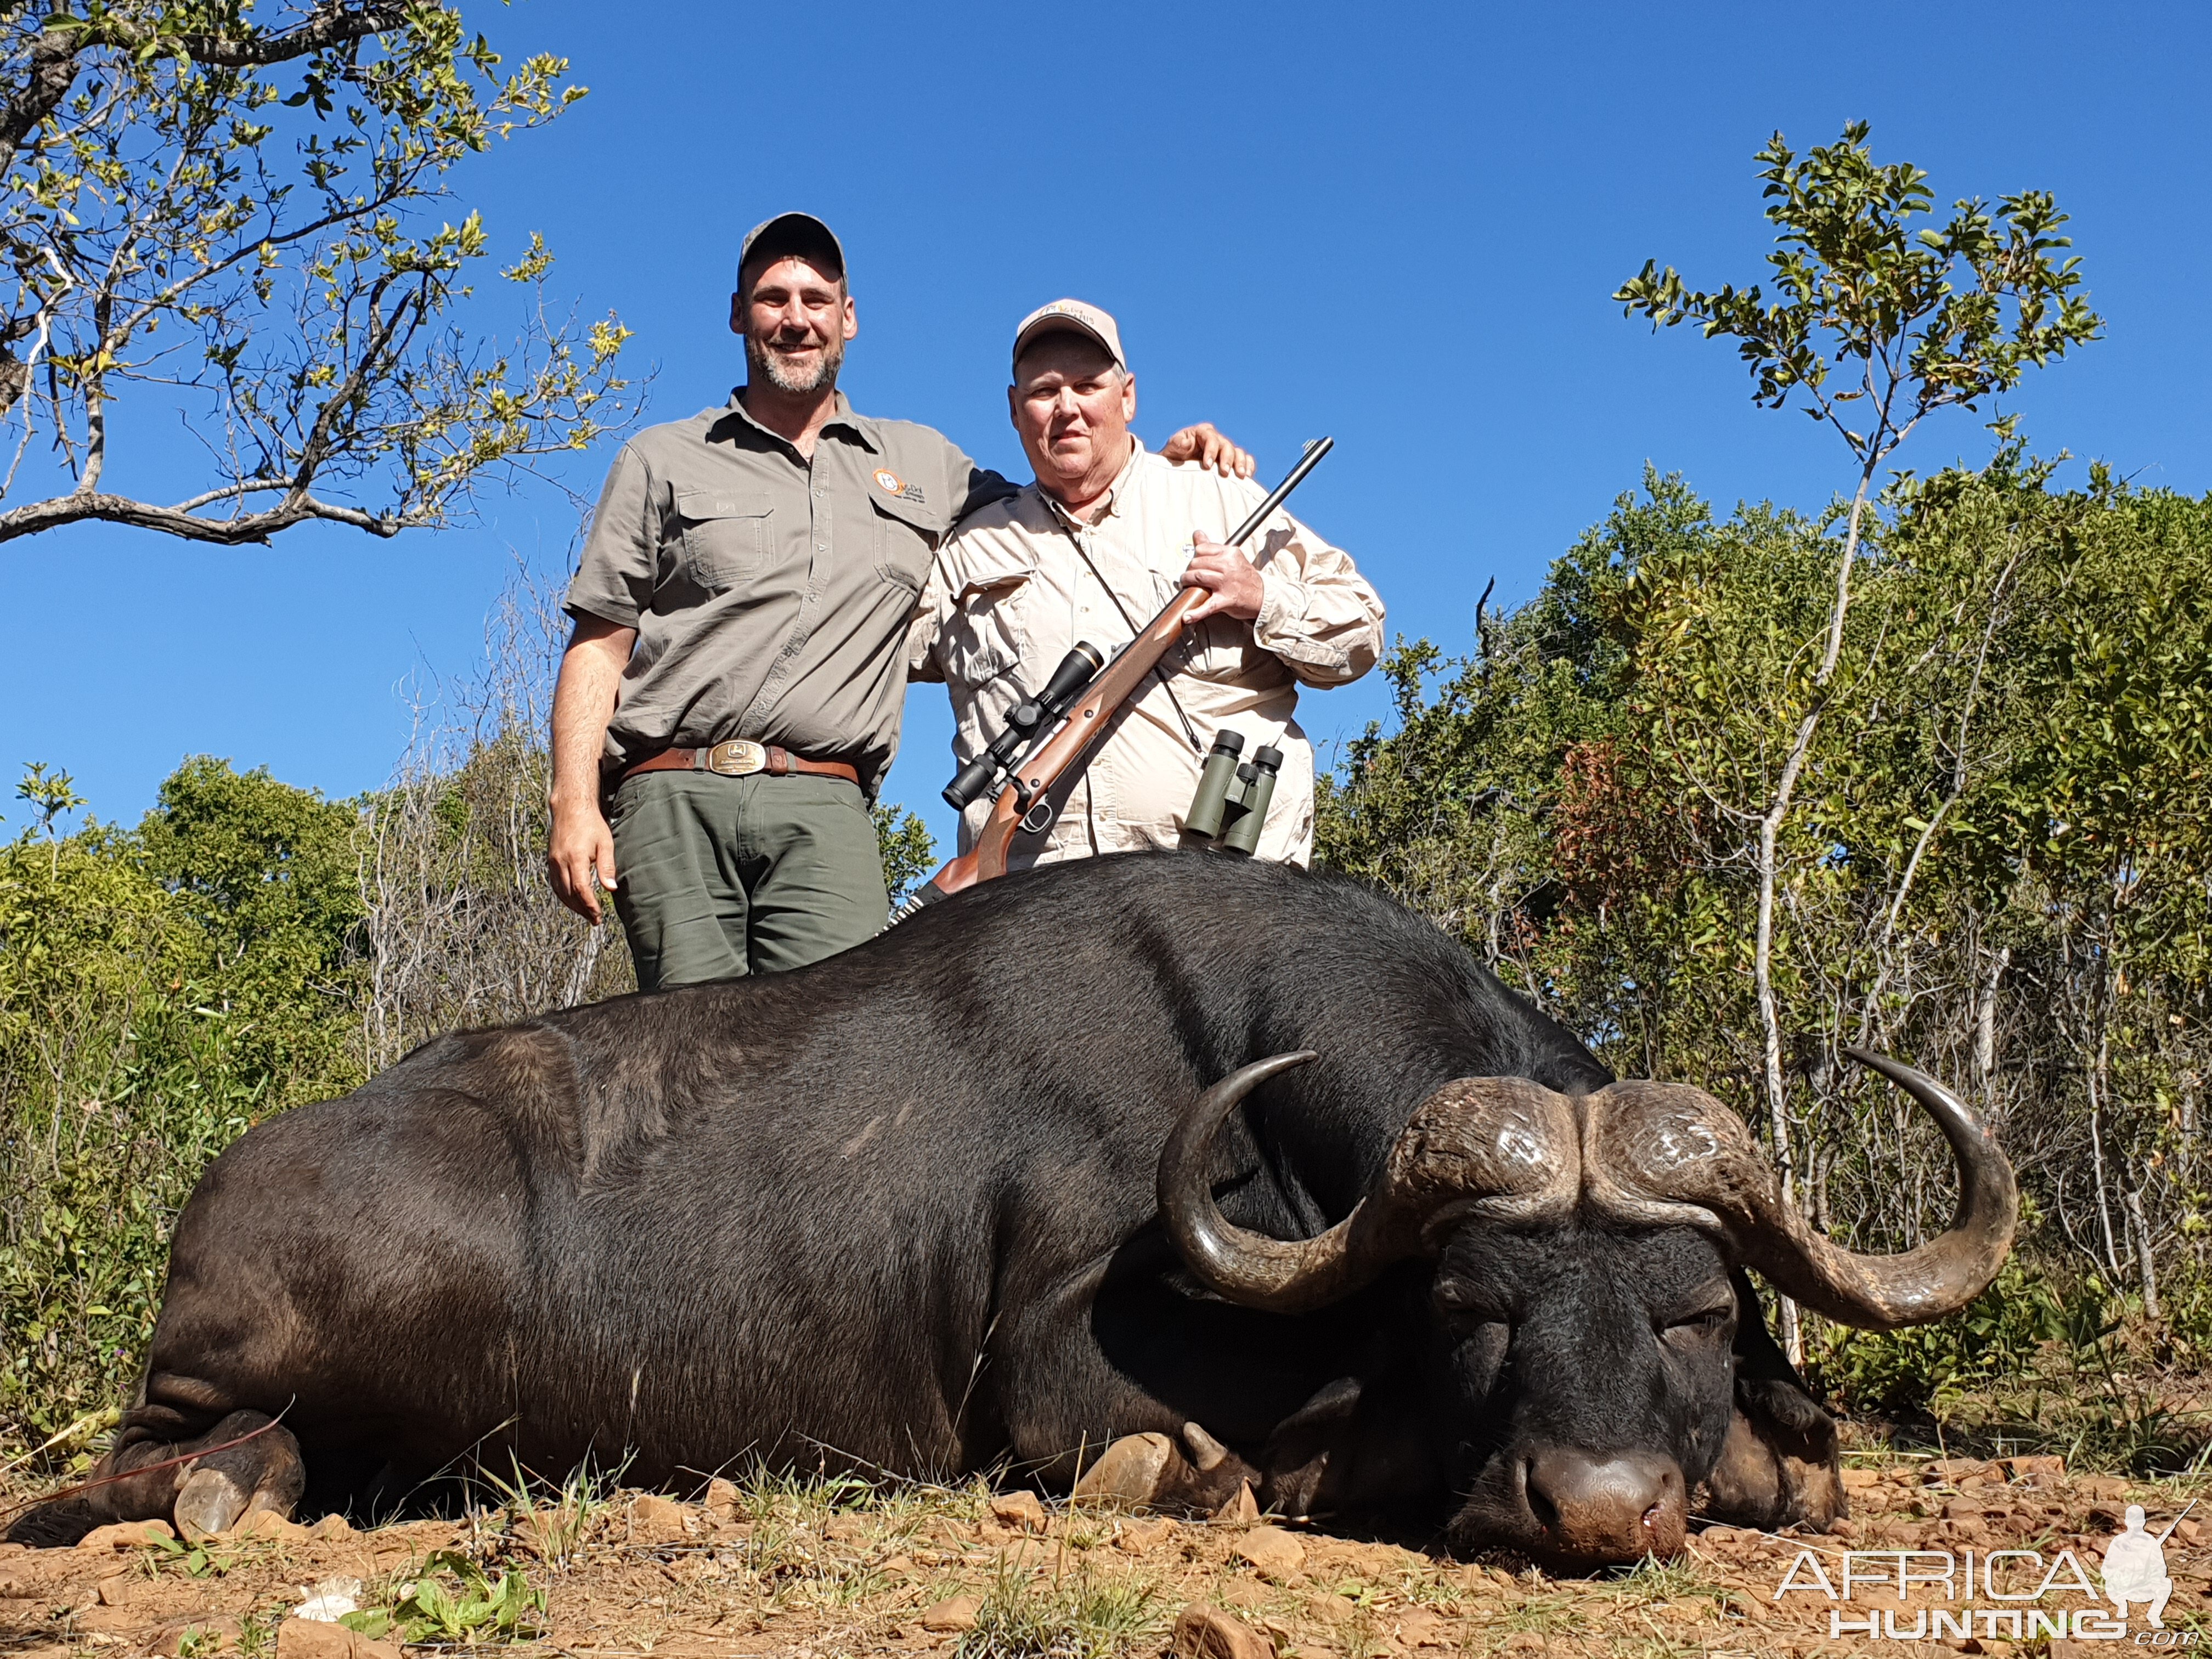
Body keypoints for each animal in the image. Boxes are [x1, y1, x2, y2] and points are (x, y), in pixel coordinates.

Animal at [8, 858, 2017, 1575]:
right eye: (1471, 1309)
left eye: (1691, 1313)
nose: (1593, 1508)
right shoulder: (1061, 1383)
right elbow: (1223, 1451)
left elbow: (1808, 1457)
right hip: (240, 1373)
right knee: (157, 1462)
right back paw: (226, 1489)